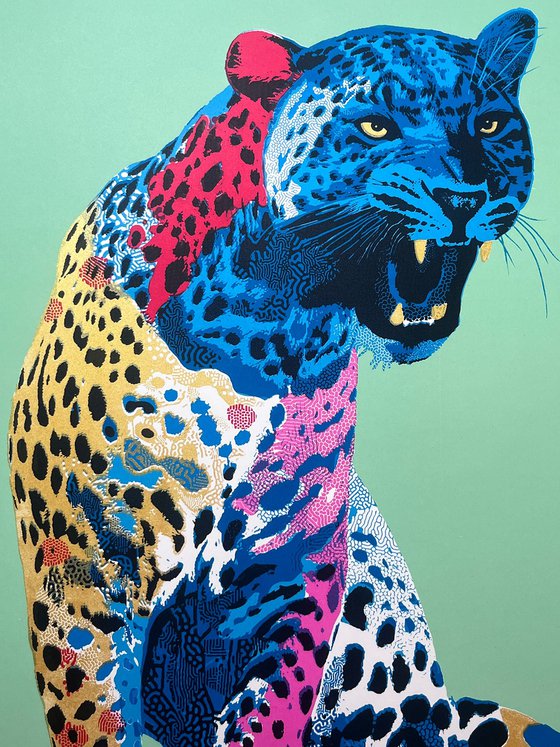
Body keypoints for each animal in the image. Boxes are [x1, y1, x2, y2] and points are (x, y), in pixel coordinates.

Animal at [8, 8, 560, 747]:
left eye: (492, 124)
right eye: (375, 125)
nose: (466, 196)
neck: (272, 334)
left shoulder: (295, 581)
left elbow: (273, 711)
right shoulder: (79, 586)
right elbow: (94, 715)